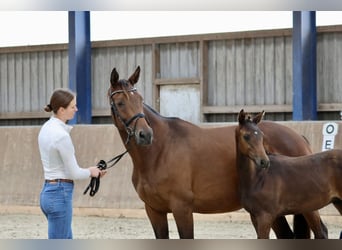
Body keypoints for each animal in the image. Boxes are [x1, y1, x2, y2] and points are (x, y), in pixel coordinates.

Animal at [108, 66, 324, 238]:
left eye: (140, 100)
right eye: (120, 103)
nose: (145, 134)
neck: (159, 151)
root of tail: (299, 137)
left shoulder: (182, 208)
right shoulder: (154, 211)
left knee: (320, 231)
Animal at [235, 109, 340, 238]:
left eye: (262, 136)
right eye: (246, 136)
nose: (264, 161)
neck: (258, 177)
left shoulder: (265, 217)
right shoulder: (254, 216)